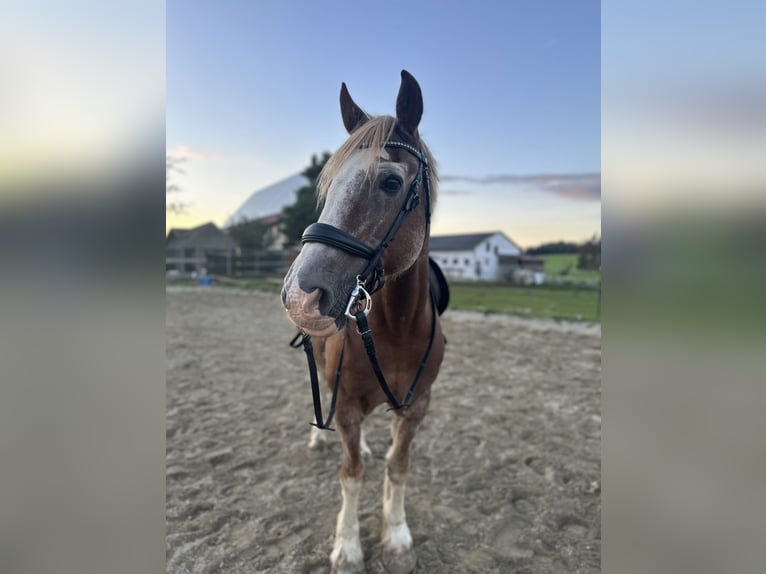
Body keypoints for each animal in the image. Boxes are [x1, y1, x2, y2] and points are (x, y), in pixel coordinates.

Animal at [282, 72, 448, 574]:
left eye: (391, 182)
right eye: (329, 185)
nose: (300, 295)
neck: (396, 329)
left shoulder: (416, 406)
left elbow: (397, 466)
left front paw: (395, 534)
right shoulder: (349, 406)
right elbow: (351, 473)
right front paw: (348, 545)